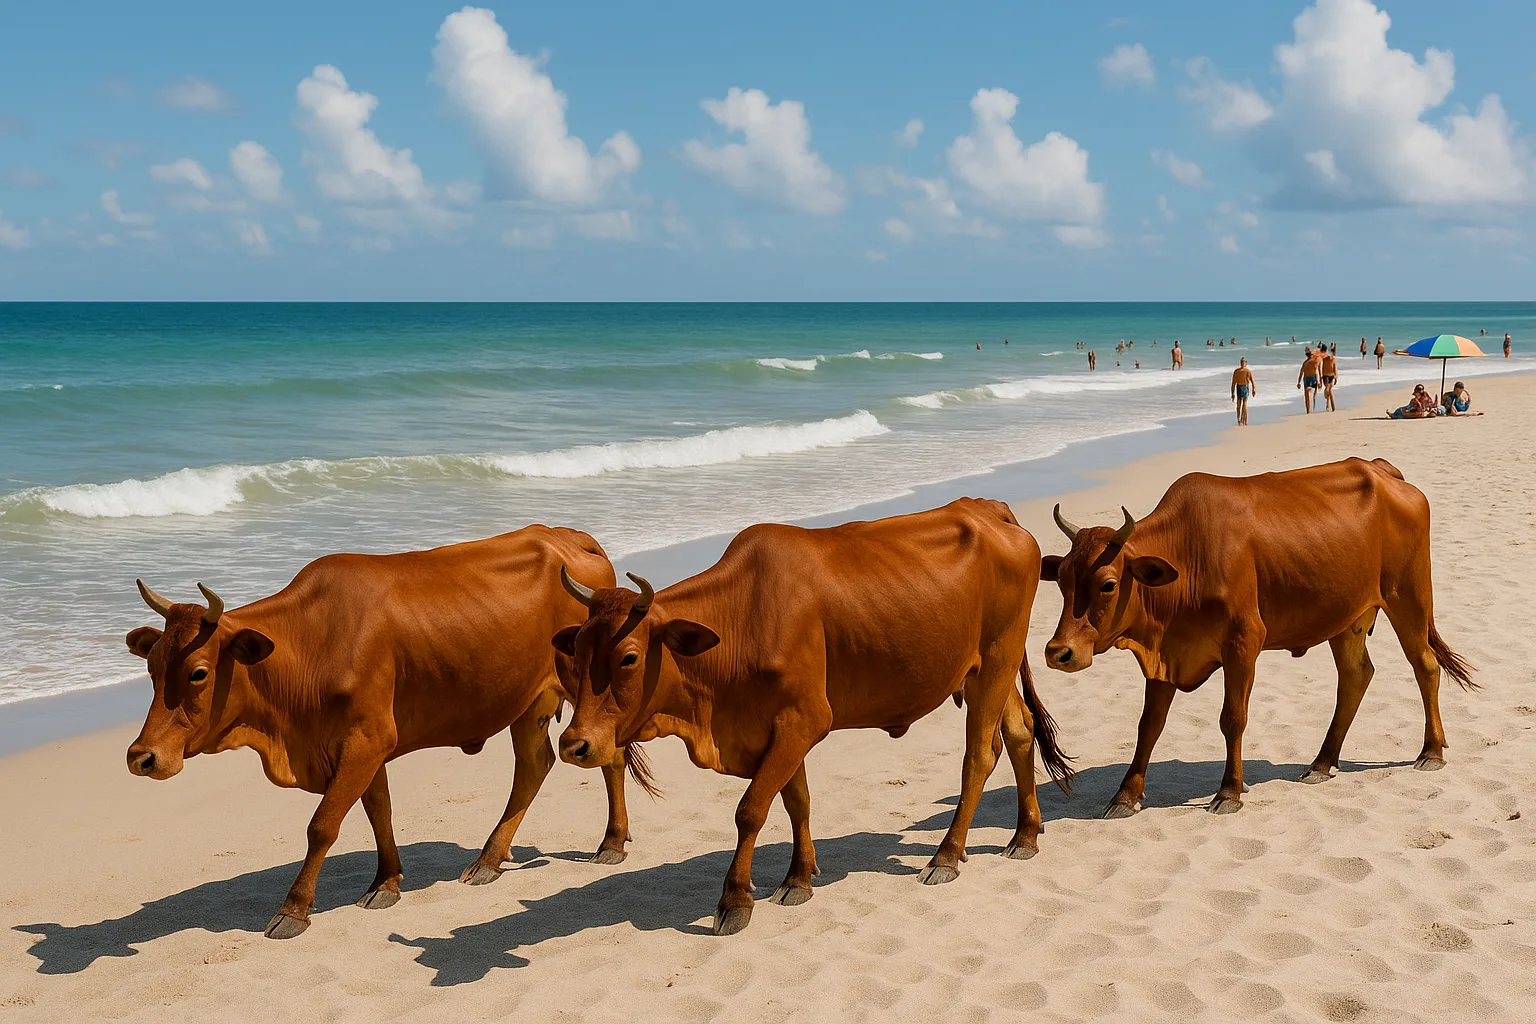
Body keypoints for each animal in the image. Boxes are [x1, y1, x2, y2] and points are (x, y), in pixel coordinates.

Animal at [123, 525, 648, 940]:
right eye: (151, 666)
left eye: (198, 672)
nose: (141, 756)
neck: (309, 645)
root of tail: (570, 537)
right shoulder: (362, 742)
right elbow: (379, 811)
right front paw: (387, 882)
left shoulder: (367, 738)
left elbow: (322, 825)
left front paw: (294, 910)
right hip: (527, 703)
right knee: (535, 765)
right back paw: (490, 858)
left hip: (590, 692)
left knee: (608, 756)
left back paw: (610, 843)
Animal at [552, 498, 1074, 936]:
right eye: (576, 652)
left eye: (628, 657)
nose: (575, 745)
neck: (743, 619)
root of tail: (991, 509)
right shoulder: (780, 727)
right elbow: (796, 801)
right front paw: (798, 878)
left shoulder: (803, 720)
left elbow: (751, 809)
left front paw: (735, 899)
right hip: (985, 669)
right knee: (1020, 731)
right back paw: (1025, 834)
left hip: (997, 658)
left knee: (979, 756)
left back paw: (946, 856)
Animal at [1039, 457, 1475, 819]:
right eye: (1061, 580)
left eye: (1108, 584)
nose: (1059, 652)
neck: (1188, 554)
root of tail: (1383, 470)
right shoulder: (1165, 655)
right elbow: (1149, 725)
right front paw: (1125, 796)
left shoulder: (1243, 642)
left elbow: (1233, 718)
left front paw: (1229, 791)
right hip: (1346, 617)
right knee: (1356, 676)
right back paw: (1322, 763)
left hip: (1409, 597)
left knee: (1425, 665)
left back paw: (1430, 751)